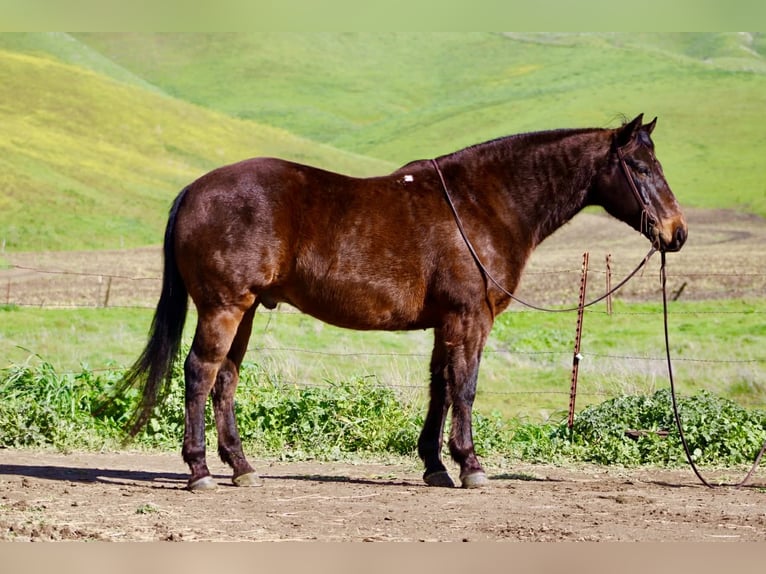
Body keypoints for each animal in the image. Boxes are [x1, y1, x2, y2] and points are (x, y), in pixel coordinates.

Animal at [116, 113, 687, 491]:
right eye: (640, 167)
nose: (676, 233)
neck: (483, 205)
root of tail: (194, 190)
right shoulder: (469, 318)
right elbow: (465, 388)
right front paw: (471, 465)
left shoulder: (445, 323)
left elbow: (440, 388)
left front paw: (435, 465)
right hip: (224, 306)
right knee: (200, 372)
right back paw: (199, 471)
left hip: (249, 310)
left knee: (226, 378)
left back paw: (241, 467)